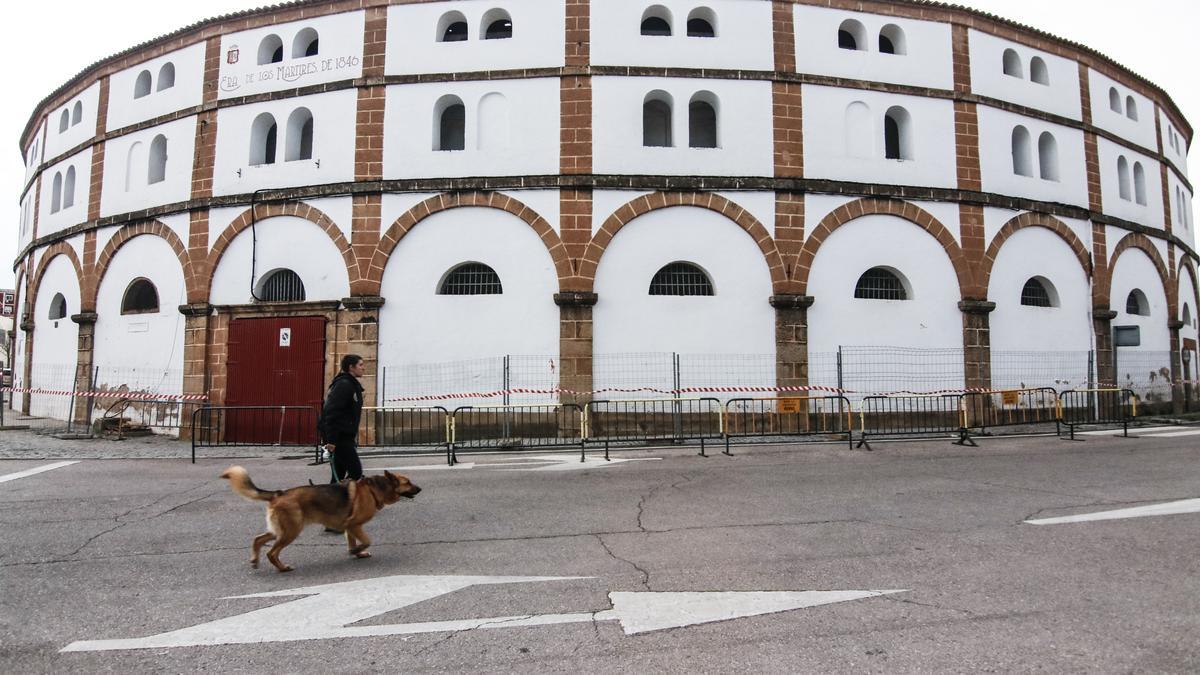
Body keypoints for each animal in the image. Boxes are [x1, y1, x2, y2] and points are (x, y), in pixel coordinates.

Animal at [220, 466, 422, 569]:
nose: (420, 489)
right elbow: (366, 541)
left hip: (280, 530)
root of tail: (278, 494)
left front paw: (357, 553)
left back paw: (255, 560)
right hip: (291, 531)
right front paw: (357, 551)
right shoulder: (355, 525)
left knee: (258, 539)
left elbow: (352, 541)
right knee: (271, 552)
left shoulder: (349, 527)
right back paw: (282, 567)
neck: (374, 489)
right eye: (408, 482)